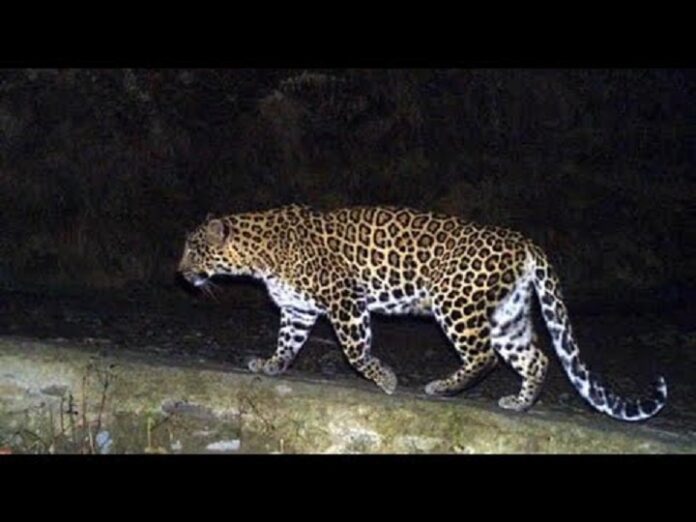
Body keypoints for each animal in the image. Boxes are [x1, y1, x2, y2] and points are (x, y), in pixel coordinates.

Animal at [177, 204, 667, 421]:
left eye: (194, 249)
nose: (180, 273)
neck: (258, 253)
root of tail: (524, 241)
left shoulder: (344, 298)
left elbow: (355, 350)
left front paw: (386, 380)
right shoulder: (298, 310)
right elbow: (287, 343)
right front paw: (271, 365)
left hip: (456, 302)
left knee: (485, 356)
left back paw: (442, 388)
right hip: (507, 315)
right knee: (537, 358)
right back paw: (519, 403)